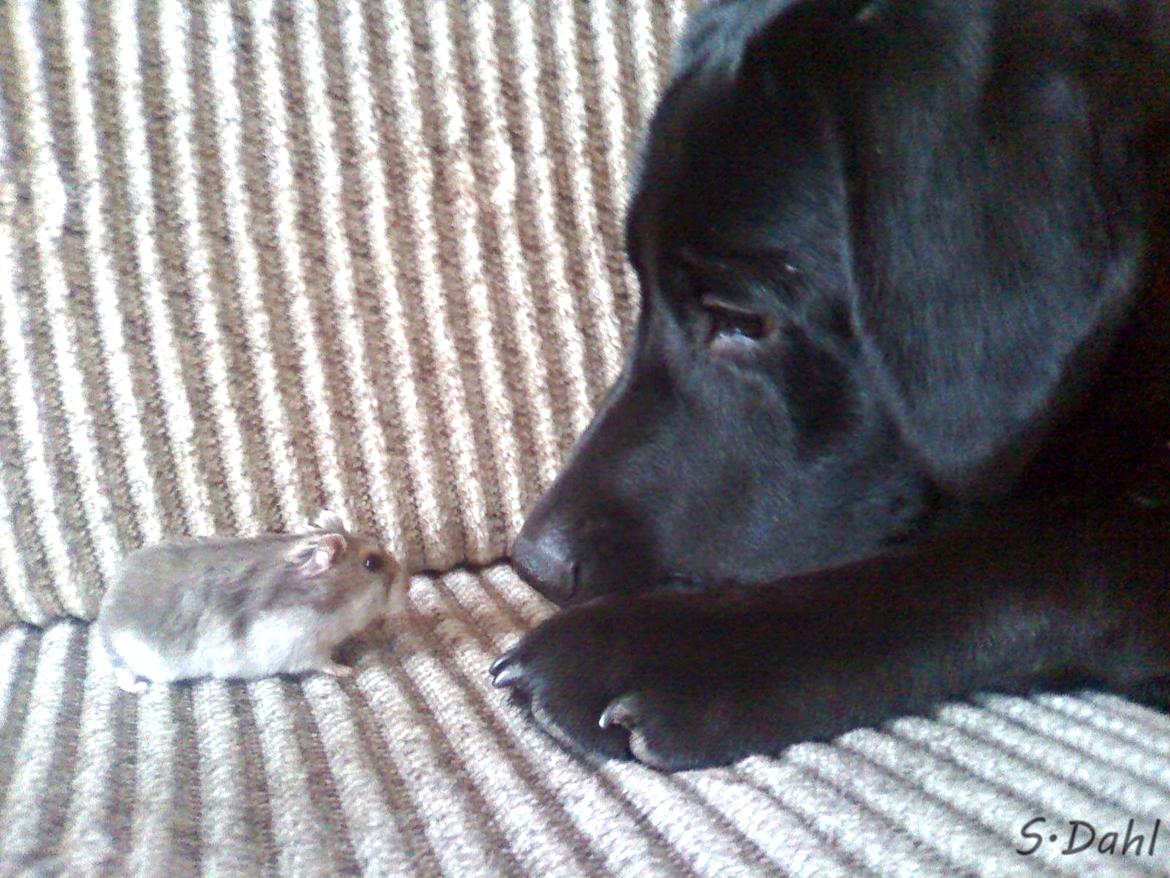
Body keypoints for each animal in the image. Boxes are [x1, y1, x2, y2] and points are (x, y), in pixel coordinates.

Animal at [95, 511, 406, 693]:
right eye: (371, 563)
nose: (406, 581)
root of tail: (105, 616)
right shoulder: (302, 645)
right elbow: (323, 663)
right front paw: (347, 669)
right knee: (120, 671)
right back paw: (139, 688)